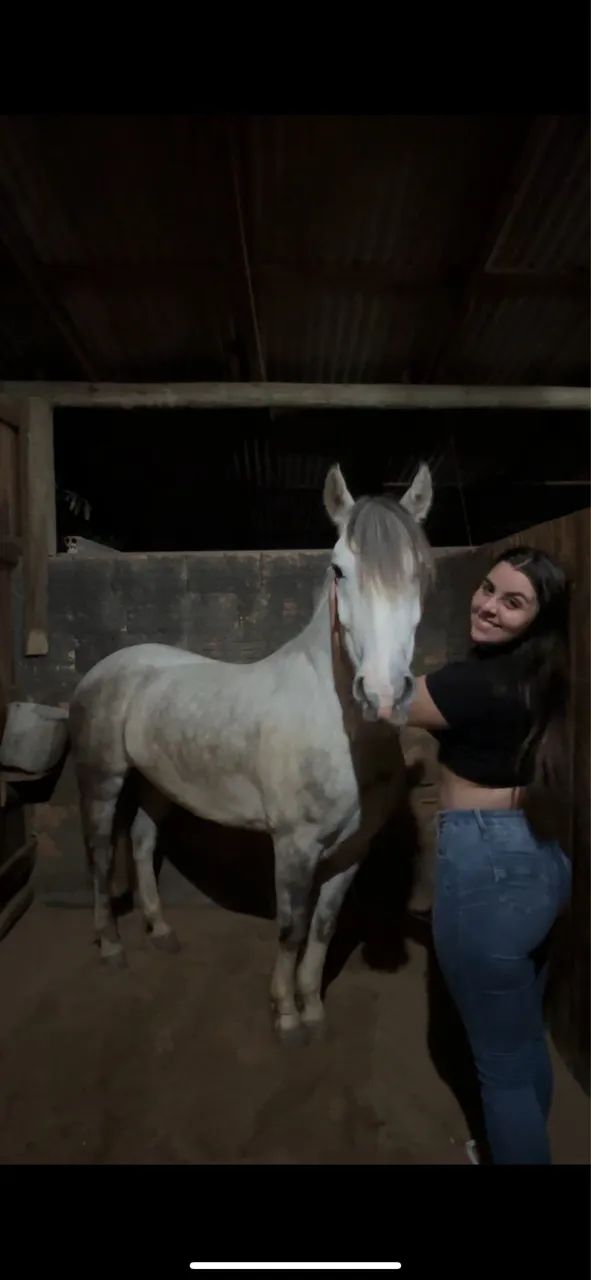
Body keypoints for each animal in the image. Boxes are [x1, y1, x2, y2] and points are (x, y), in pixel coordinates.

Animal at [69, 461, 434, 1041]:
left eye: (420, 569)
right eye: (338, 570)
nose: (382, 694)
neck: (337, 729)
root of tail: (108, 667)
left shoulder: (351, 851)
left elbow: (323, 928)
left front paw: (314, 1009)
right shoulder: (294, 846)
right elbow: (291, 928)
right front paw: (285, 1015)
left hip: (156, 782)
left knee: (144, 843)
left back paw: (160, 930)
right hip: (102, 778)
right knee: (102, 854)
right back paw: (110, 947)